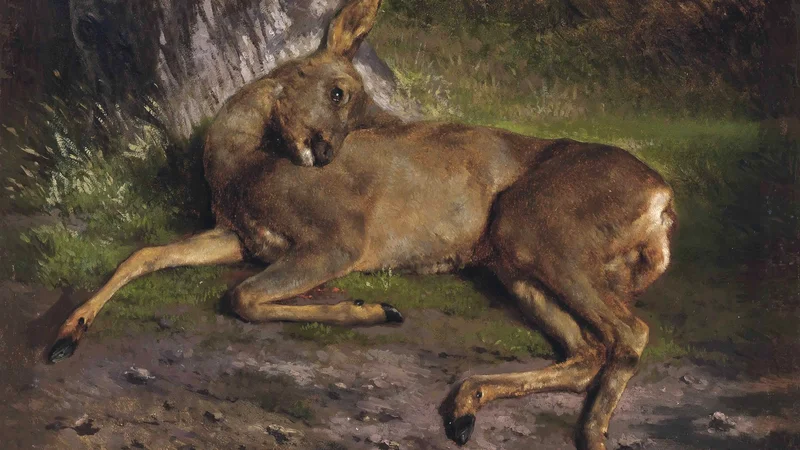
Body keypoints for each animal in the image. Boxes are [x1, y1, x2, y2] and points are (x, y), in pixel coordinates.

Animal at [48, 1, 677, 449]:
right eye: (338, 91)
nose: (326, 152)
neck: (243, 167)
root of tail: (662, 197)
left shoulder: (338, 240)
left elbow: (242, 297)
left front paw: (369, 307)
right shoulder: (241, 236)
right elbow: (145, 254)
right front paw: (66, 334)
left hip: (545, 231)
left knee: (630, 332)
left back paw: (588, 433)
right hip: (514, 261)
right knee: (587, 349)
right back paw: (465, 407)